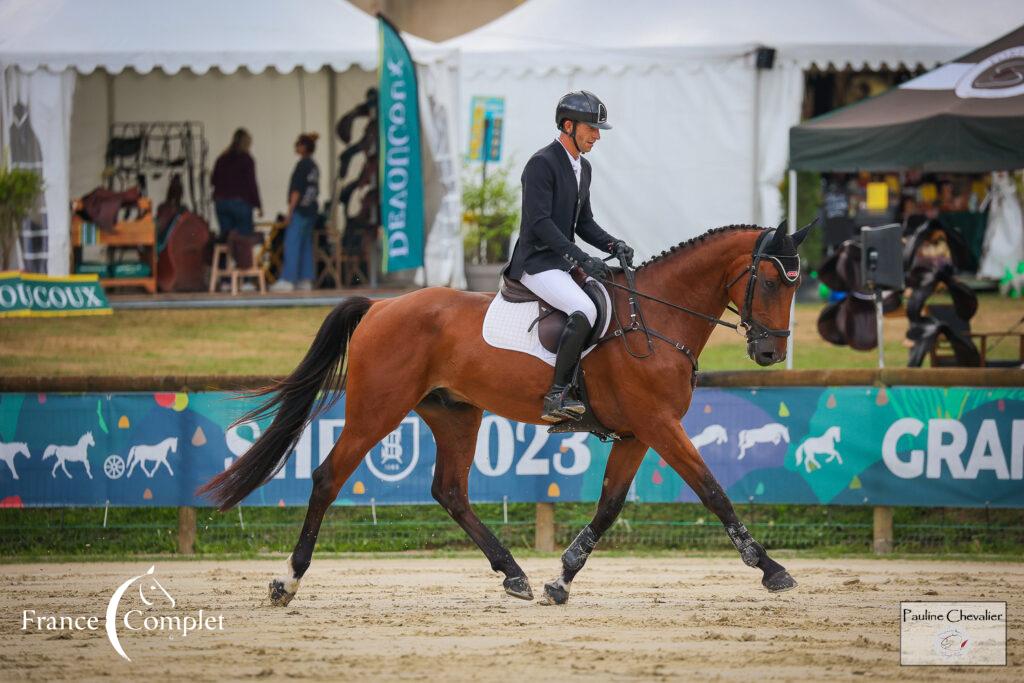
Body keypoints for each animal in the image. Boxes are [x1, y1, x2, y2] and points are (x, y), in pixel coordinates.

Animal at [199, 222, 811, 606]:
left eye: (797, 283)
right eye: (772, 281)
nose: (769, 353)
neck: (653, 319)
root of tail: (380, 305)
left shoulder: (637, 433)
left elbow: (610, 506)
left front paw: (562, 578)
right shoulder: (660, 425)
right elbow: (713, 492)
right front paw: (771, 569)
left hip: (455, 415)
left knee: (450, 490)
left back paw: (514, 574)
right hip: (377, 410)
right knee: (328, 477)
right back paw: (287, 581)